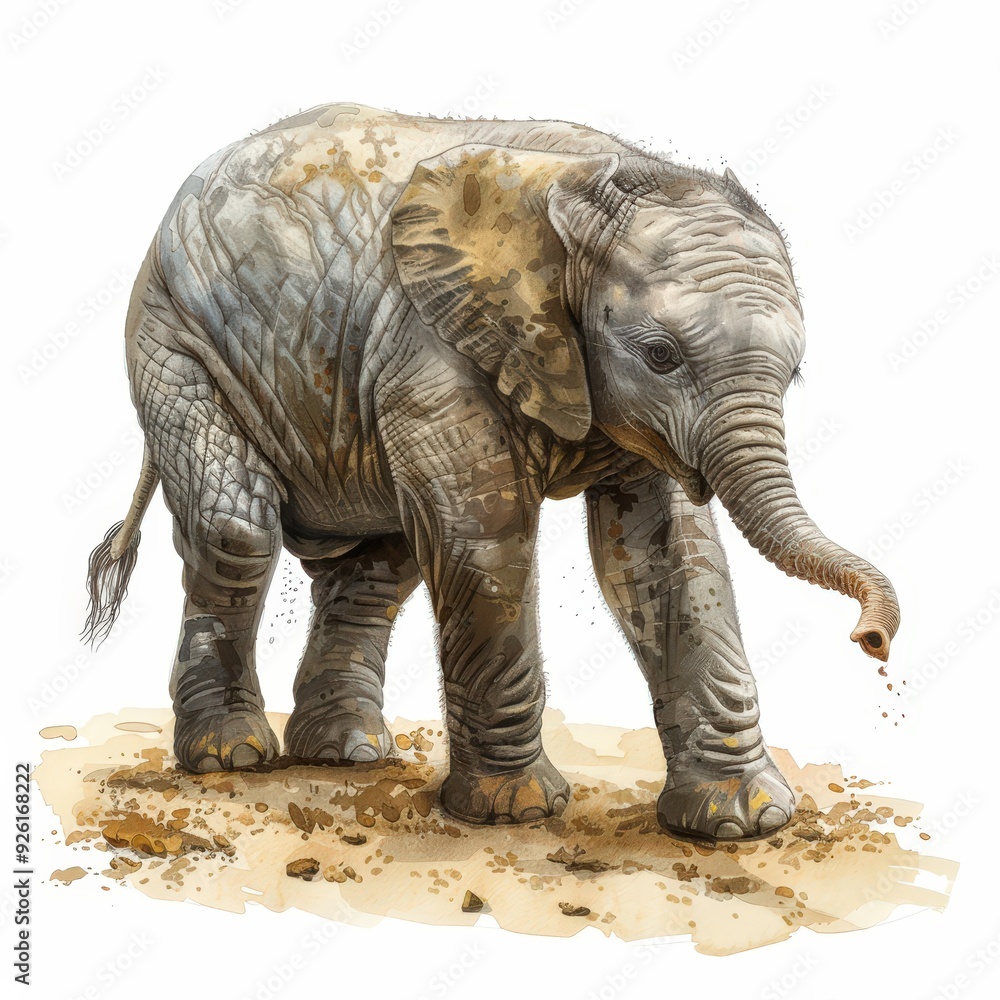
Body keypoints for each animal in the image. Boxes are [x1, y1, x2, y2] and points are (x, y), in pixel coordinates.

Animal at [83, 102, 899, 841]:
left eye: (794, 373)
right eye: (661, 356)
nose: (873, 643)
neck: (584, 185)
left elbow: (668, 558)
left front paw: (742, 822)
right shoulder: (432, 345)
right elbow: (485, 535)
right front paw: (517, 811)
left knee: (376, 567)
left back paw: (349, 754)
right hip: (172, 337)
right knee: (238, 531)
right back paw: (230, 757)